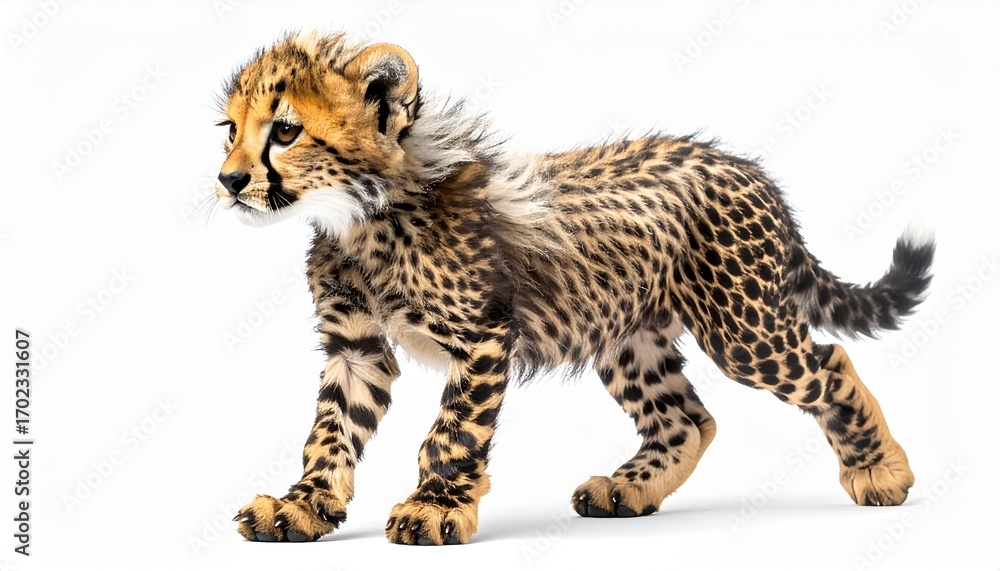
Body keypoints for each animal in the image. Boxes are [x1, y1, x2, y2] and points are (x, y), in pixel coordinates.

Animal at [213, 32, 935, 545]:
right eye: (230, 130)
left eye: (286, 130)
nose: (229, 180)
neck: (363, 214)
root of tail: (743, 166)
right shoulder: (356, 348)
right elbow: (330, 428)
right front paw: (303, 505)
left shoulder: (482, 338)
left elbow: (451, 433)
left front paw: (434, 506)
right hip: (628, 338)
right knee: (686, 417)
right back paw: (628, 490)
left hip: (743, 329)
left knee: (828, 363)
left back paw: (879, 469)